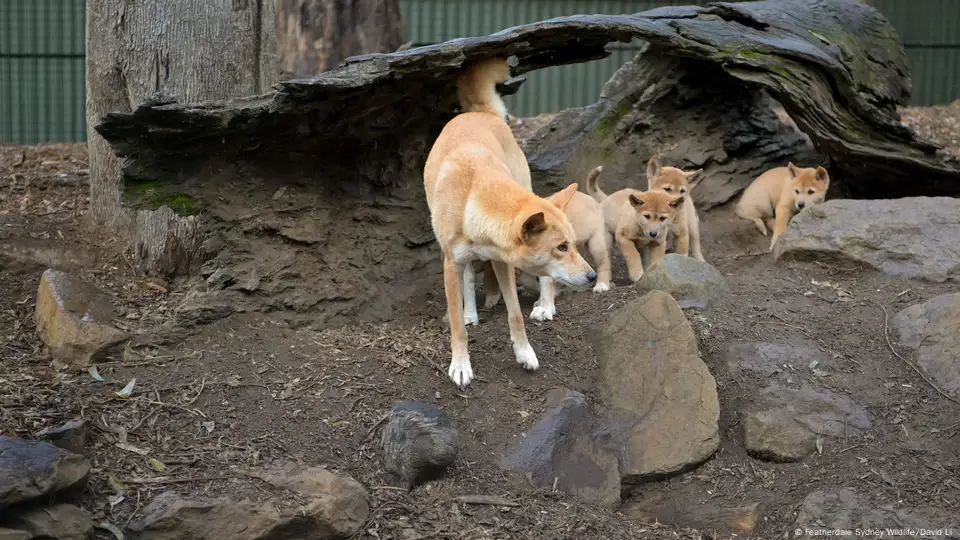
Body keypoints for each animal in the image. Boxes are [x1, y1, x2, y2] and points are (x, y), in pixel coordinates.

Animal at [424, 58, 596, 388]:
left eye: (571, 245)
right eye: (561, 247)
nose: (592, 276)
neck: (474, 194)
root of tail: (480, 113)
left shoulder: (503, 262)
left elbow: (515, 314)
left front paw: (525, 353)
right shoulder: (452, 264)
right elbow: (457, 324)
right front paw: (461, 364)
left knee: (547, 280)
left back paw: (546, 306)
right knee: (467, 280)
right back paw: (471, 312)